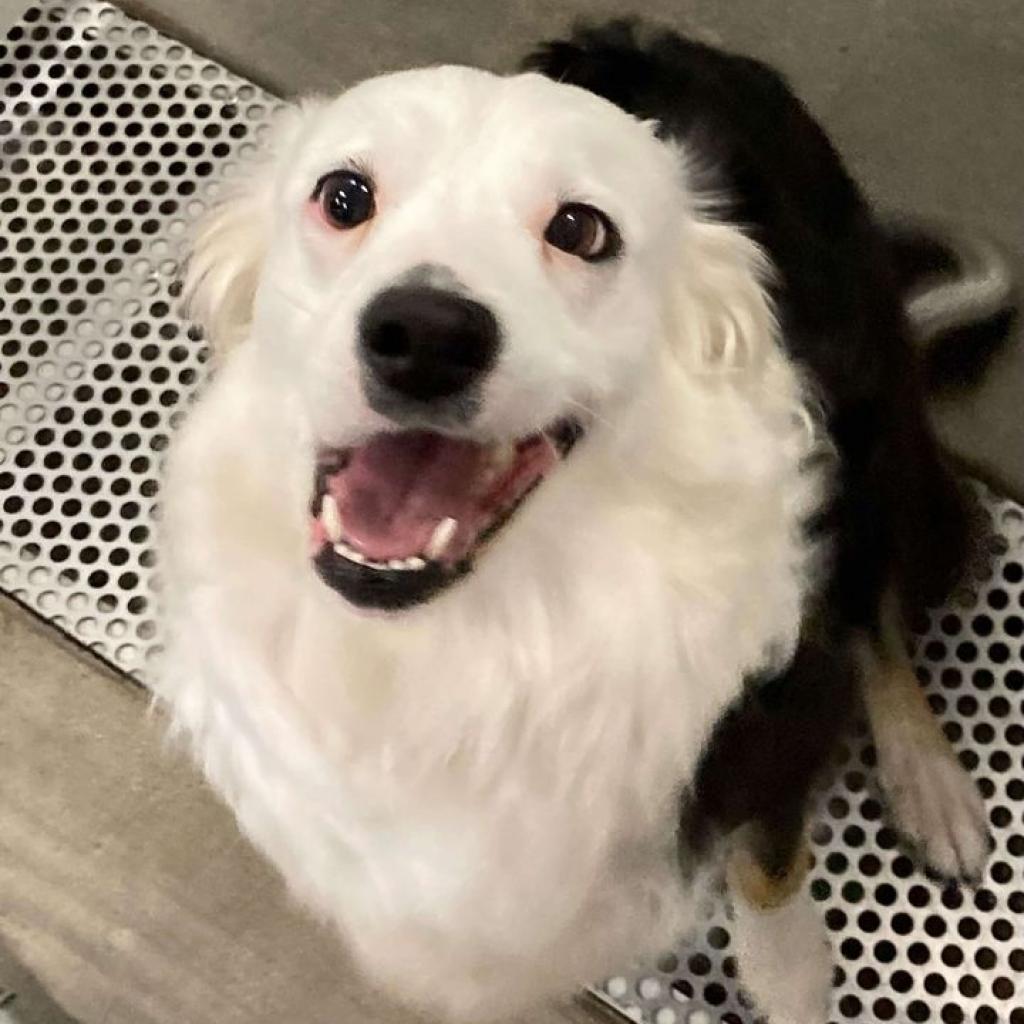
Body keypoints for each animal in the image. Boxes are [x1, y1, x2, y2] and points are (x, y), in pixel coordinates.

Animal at [159, 19, 1015, 1019]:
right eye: (344, 196)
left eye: (580, 229)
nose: (423, 337)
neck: (482, 636)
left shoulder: (768, 722)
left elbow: (768, 874)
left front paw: (790, 979)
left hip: (871, 428)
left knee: (877, 610)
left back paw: (930, 783)